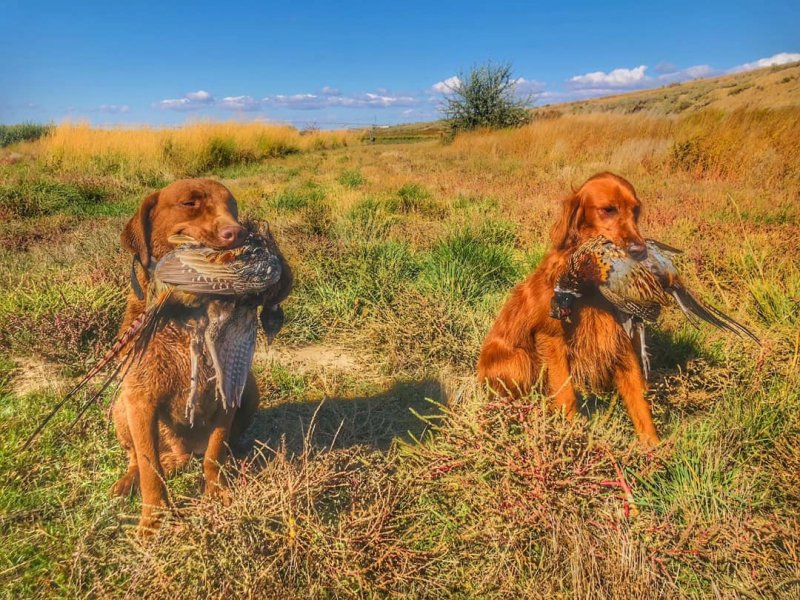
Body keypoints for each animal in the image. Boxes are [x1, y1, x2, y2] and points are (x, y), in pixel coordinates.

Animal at [109, 179, 290, 528]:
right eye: (189, 203)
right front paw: (154, 519)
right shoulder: (141, 399)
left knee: (216, 446)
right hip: (122, 406)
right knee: (136, 457)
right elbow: (149, 466)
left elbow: (214, 452)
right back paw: (128, 481)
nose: (237, 232)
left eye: (232, 205)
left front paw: (218, 493)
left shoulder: (227, 392)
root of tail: (182, 452)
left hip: (250, 388)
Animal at [478, 172, 660, 446]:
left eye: (636, 210)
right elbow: (566, 395)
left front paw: (654, 446)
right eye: (608, 209)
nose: (640, 251)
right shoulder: (551, 338)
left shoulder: (619, 340)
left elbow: (638, 397)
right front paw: (571, 434)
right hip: (520, 358)